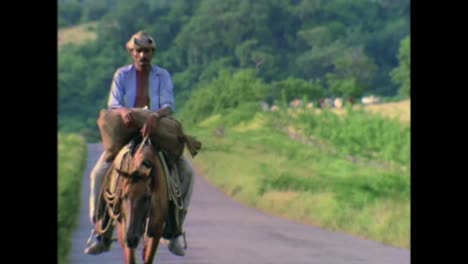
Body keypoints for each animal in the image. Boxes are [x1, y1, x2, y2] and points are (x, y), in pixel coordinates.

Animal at [97, 136, 172, 264]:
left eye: (146, 197)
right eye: (123, 196)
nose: (131, 239)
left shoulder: (156, 231)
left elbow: (148, 259)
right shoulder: (124, 229)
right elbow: (130, 259)